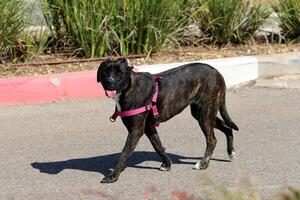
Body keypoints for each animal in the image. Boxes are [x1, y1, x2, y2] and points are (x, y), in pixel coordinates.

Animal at [97, 57, 238, 183]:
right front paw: (167, 164)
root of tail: (217, 72)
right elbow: (158, 146)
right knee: (227, 127)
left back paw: (203, 164)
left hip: (205, 113)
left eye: (119, 73)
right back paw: (231, 152)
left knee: (212, 140)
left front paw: (113, 176)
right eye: (105, 72)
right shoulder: (149, 128)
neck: (130, 87)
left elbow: (124, 154)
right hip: (202, 114)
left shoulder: (135, 131)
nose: (109, 81)